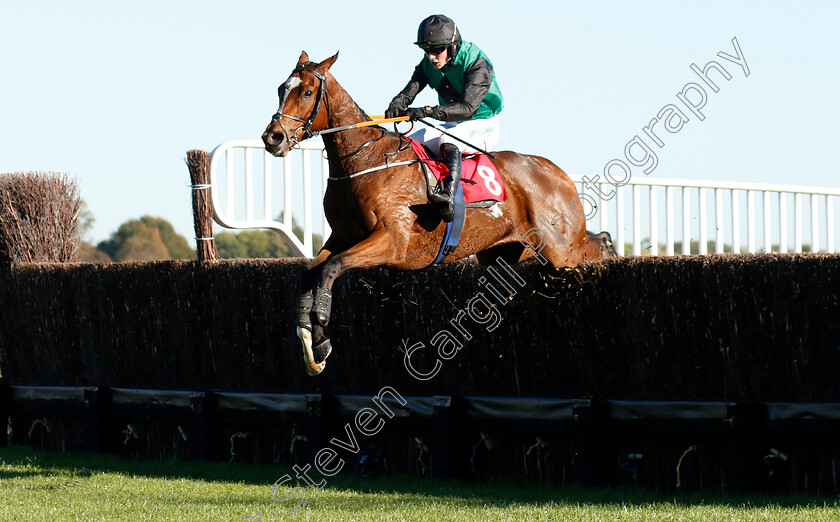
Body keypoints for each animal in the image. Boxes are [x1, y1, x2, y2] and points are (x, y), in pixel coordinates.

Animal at [262, 51, 616, 374]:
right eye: (281, 88)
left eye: (307, 92)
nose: (272, 138)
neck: (365, 162)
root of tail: (557, 173)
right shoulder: (342, 236)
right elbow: (310, 272)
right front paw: (312, 342)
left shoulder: (392, 241)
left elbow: (331, 268)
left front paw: (320, 325)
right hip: (510, 251)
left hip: (561, 248)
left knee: (593, 248)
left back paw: (610, 249)